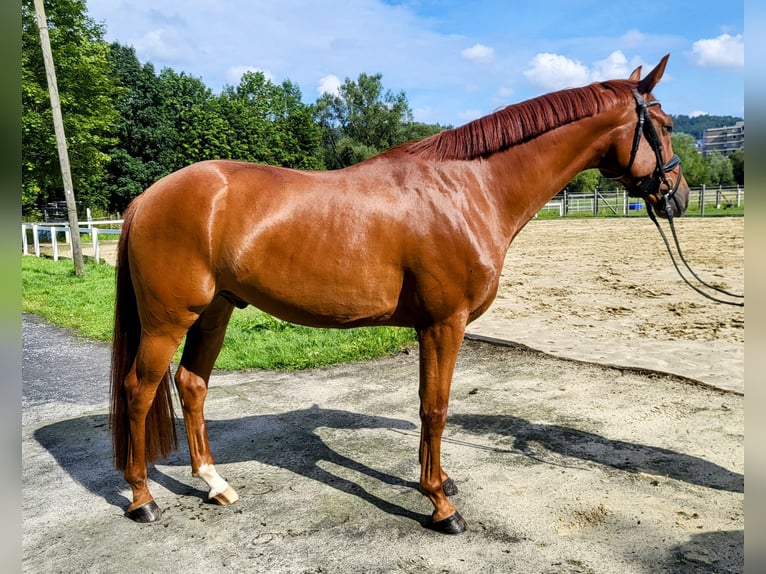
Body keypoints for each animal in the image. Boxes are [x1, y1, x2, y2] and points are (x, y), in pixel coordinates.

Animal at [111, 55, 692, 536]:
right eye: (664, 127)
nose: (679, 197)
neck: (467, 189)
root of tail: (145, 199)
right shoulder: (444, 323)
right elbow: (435, 408)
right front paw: (441, 506)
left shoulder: (429, 326)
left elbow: (426, 406)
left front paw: (437, 481)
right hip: (169, 320)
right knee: (139, 390)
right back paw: (142, 499)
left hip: (215, 311)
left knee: (192, 385)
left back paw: (215, 484)